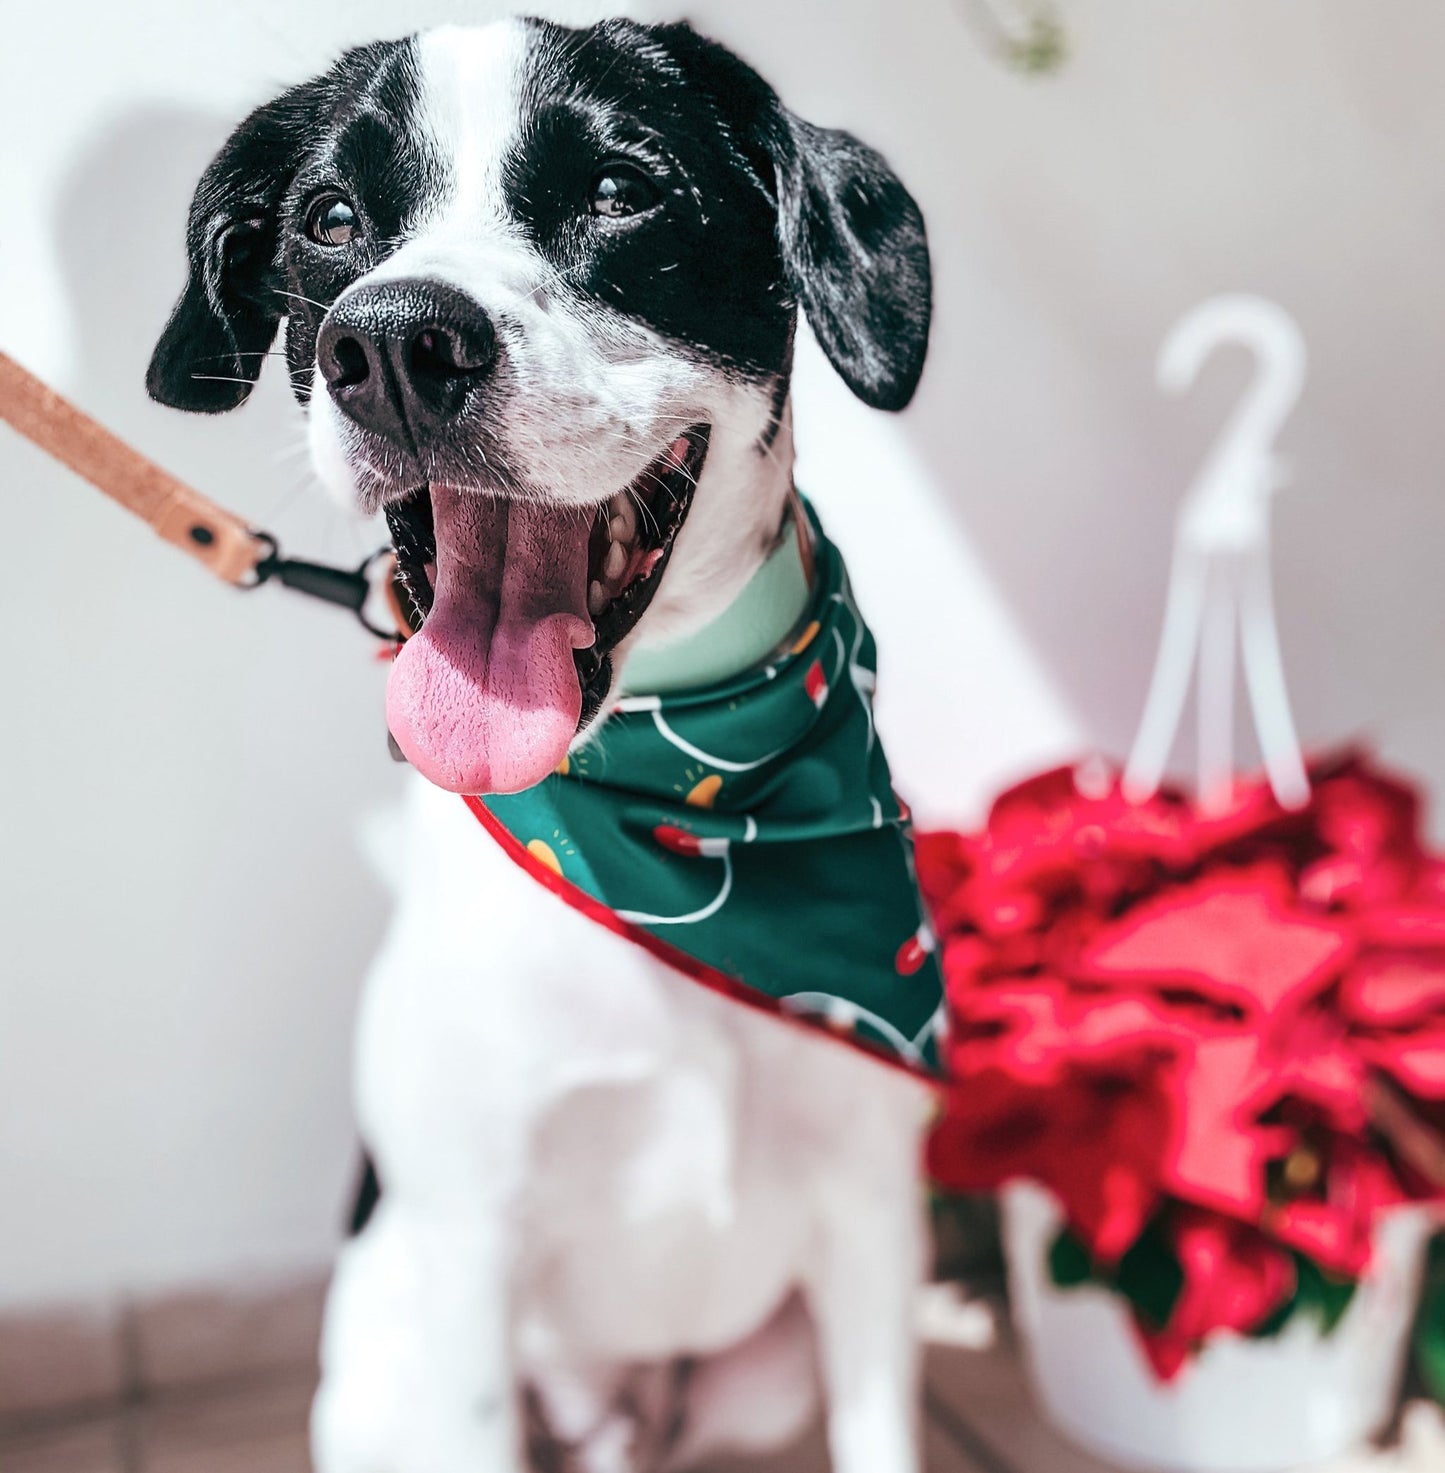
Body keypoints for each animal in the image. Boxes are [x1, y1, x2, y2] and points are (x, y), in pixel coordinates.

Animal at [149, 14, 936, 1473]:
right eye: (330, 219)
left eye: (620, 191)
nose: (394, 344)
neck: (681, 819)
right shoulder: (468, 1249)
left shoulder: (870, 1220)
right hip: (381, 1372)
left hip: (761, 1376)